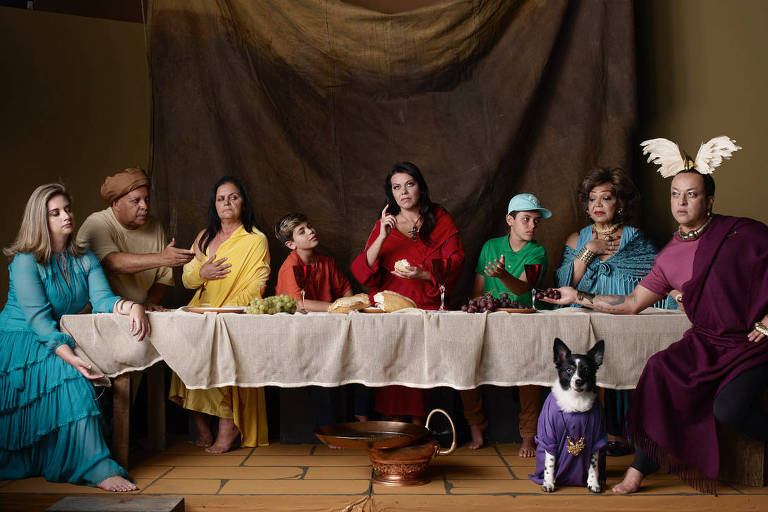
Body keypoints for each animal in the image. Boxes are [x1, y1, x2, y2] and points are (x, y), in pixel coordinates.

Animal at [528, 338, 608, 494]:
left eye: (586, 370)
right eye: (569, 370)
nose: (578, 381)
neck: (576, 399)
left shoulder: (596, 438)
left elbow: (593, 466)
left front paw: (593, 483)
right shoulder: (549, 437)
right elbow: (550, 463)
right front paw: (548, 482)